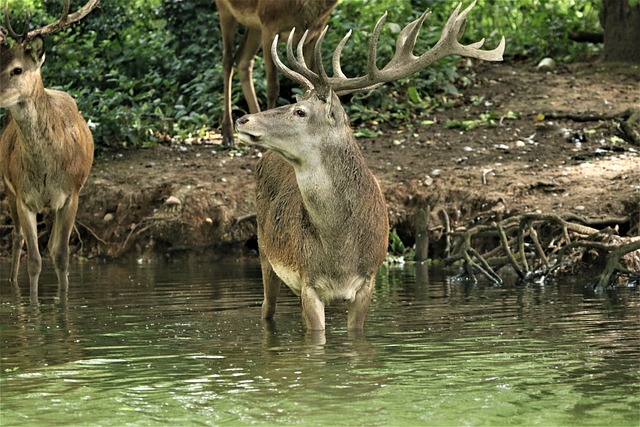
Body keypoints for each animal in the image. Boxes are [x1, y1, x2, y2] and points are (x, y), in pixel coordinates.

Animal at [0, 0, 99, 294]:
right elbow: (34, 260)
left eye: (17, 69)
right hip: (7, 188)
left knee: (53, 245)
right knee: (17, 238)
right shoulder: (23, 196)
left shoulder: (71, 194)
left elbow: (61, 256)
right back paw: (12, 284)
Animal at [215, 0, 338, 145]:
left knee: (243, 59)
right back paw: (228, 136)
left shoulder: (314, 35)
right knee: (227, 61)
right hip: (225, 10)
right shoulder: (269, 24)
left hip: (255, 27)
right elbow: (272, 87)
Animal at [238, 0, 508, 332]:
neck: (339, 249)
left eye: (299, 111)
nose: (243, 119)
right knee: (266, 308)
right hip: (264, 249)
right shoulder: (308, 282)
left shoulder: (368, 280)